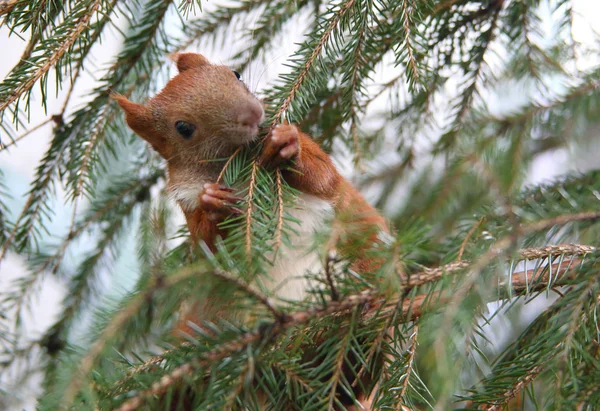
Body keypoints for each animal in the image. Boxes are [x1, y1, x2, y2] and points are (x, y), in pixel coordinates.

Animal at [116, 53, 390, 410]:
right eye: (183, 128)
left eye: (235, 74)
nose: (253, 115)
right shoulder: (185, 199)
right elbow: (206, 243)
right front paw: (214, 203)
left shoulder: (316, 158)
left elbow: (324, 177)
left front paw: (287, 147)